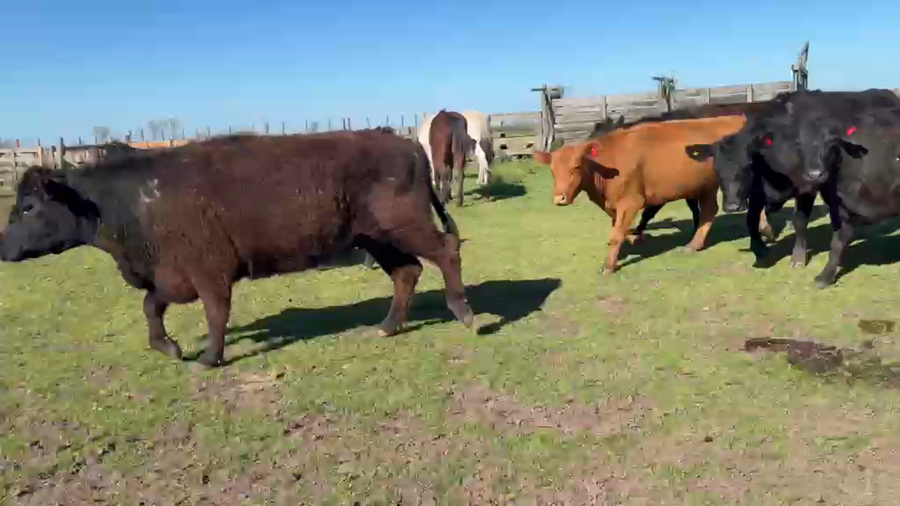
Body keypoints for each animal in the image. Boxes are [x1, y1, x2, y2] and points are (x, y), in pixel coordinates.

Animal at [0, 129, 475, 367]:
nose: (3, 249)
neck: (132, 198)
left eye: (28, 206)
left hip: (405, 227)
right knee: (408, 271)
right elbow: (152, 306)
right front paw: (169, 347)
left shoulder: (209, 273)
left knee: (446, 249)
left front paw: (209, 358)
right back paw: (388, 326)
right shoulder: (171, 276)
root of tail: (405, 142)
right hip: (375, 238)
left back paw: (465, 314)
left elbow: (216, 313)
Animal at [534, 115, 771, 273]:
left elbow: (616, 234)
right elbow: (621, 229)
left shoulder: (631, 201)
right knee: (710, 210)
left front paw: (609, 265)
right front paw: (635, 238)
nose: (559, 199)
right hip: (706, 185)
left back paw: (763, 230)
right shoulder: (616, 205)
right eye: (553, 170)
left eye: (576, 167)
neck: (607, 164)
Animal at [685, 88, 900, 284]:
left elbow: (799, 220)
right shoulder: (756, 193)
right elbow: (751, 220)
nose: (731, 206)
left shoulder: (806, 187)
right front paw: (759, 248)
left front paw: (798, 257)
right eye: (716, 168)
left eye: (748, 164)